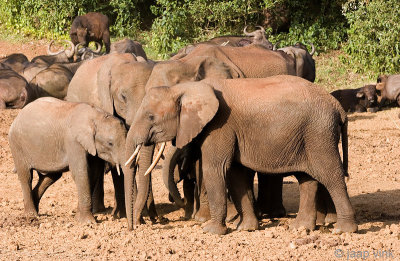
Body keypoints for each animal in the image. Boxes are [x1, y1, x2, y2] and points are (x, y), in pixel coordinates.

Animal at [128, 75, 356, 234]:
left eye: (151, 117)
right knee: (307, 179)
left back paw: (342, 229)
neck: (188, 87)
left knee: (330, 175)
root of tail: (338, 107)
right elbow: (236, 175)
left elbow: (216, 169)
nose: (134, 227)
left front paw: (211, 231)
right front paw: (246, 228)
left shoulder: (220, 126)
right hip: (304, 137)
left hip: (318, 133)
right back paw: (300, 228)